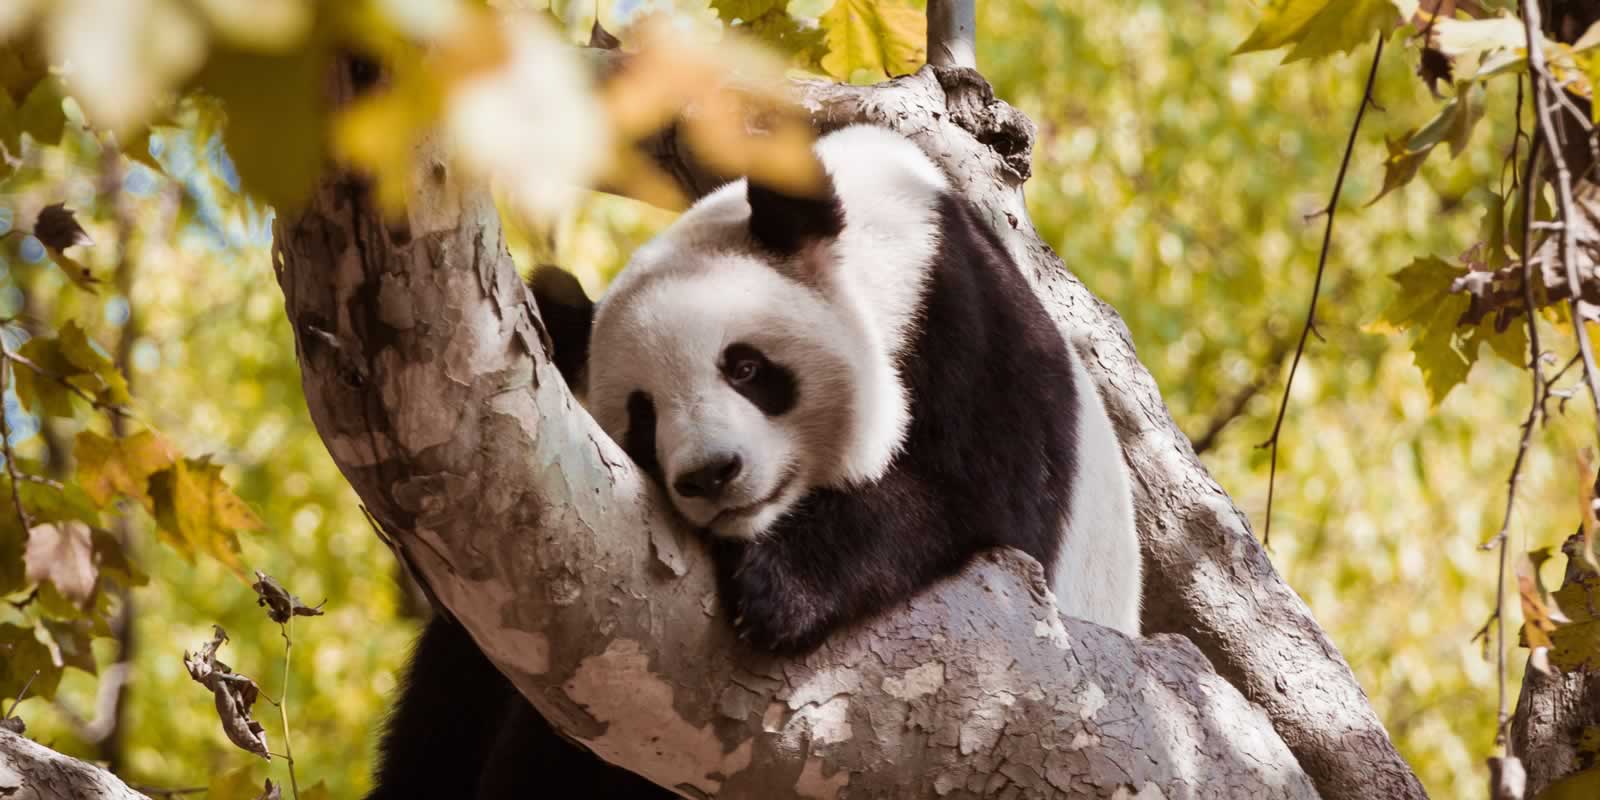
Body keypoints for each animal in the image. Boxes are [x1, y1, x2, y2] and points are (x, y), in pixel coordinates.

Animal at [366, 125, 1142, 799]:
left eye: (744, 367)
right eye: (642, 418)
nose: (711, 474)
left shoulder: (969, 326)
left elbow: (974, 495)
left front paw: (778, 588)